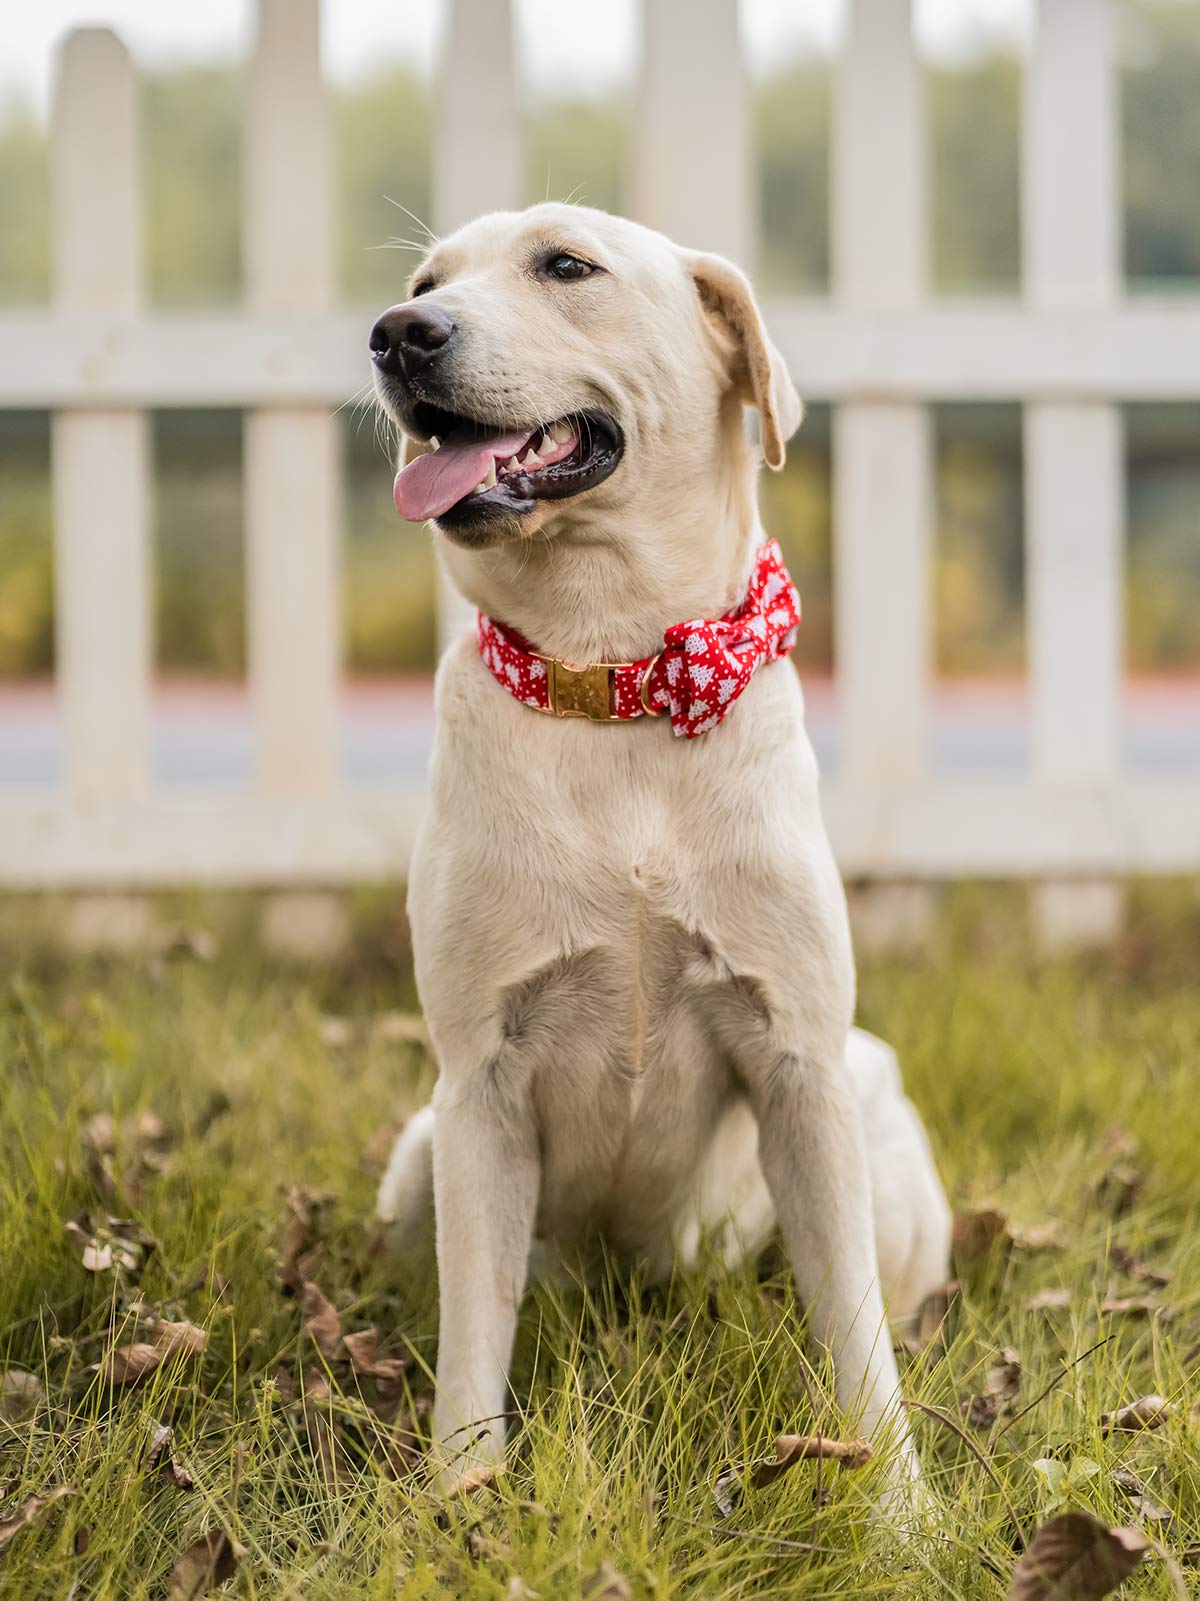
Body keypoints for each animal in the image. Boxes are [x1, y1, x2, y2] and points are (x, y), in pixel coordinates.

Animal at [366, 200, 947, 1511]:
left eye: (566, 266)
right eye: (426, 282)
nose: (397, 334)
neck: (615, 679)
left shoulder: (799, 1065)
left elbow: (858, 1340)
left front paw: (900, 1512)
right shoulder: (477, 1089)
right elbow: (473, 1342)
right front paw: (461, 1504)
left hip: (876, 1129)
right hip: (414, 1160)